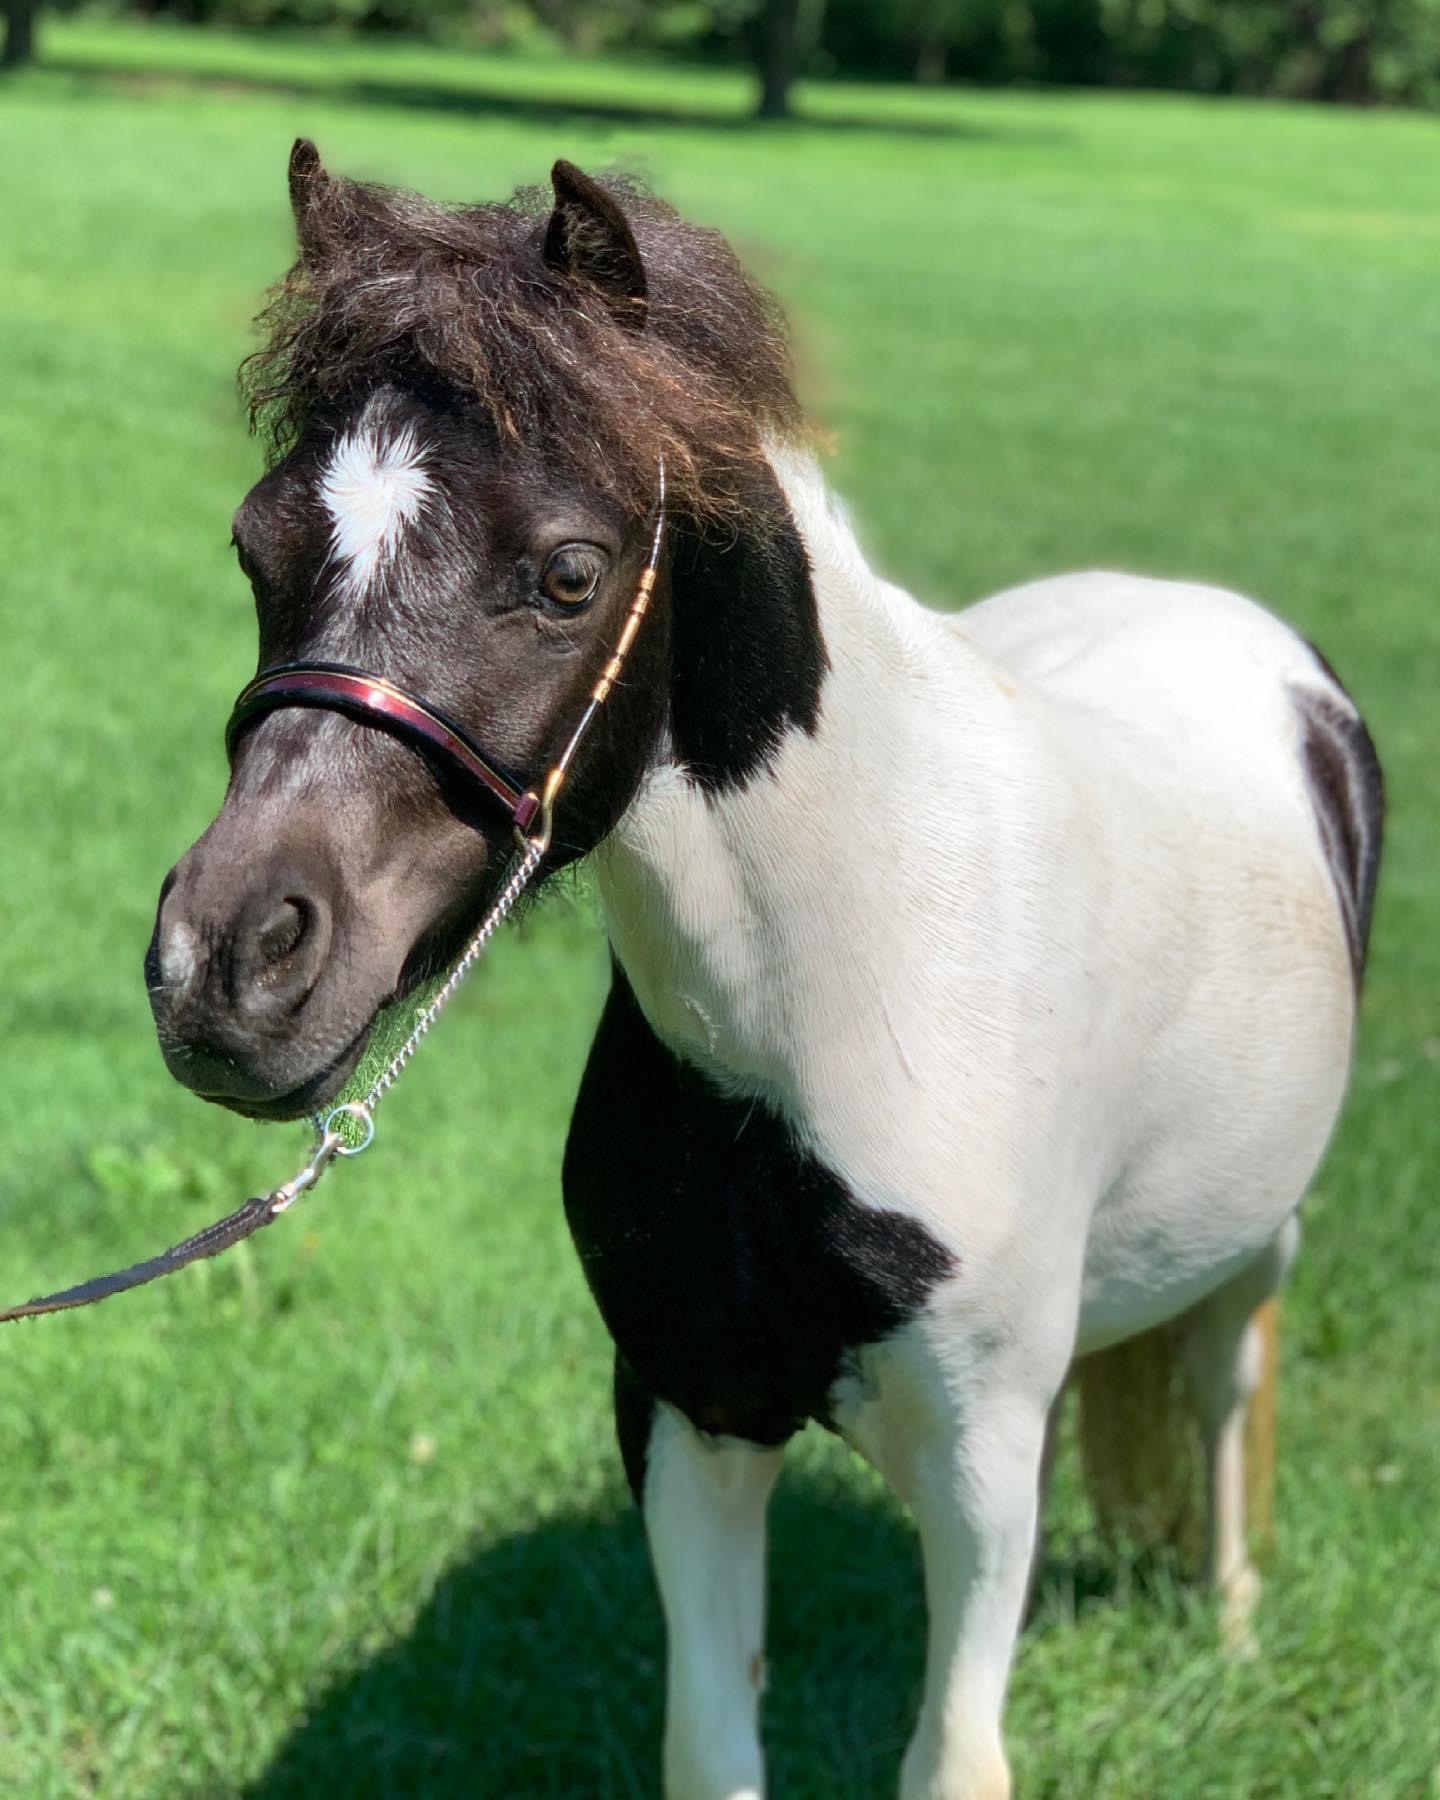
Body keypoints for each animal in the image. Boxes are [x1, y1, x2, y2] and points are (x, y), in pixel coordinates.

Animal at [145, 142, 1383, 1799]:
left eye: (568, 574)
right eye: (254, 543)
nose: (224, 963)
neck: (860, 989)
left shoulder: (978, 1465)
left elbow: (956, 1757)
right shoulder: (690, 1412)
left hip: (1260, 1243)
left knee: (1224, 1390)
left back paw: (1234, 1626)